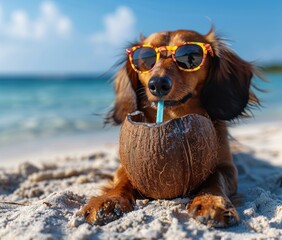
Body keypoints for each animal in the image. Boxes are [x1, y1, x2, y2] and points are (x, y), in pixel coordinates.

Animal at [80, 27, 258, 227]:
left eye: (191, 56)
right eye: (145, 58)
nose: (158, 84)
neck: (172, 116)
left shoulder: (227, 167)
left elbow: (216, 178)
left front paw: (211, 201)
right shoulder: (126, 166)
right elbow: (124, 179)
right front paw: (109, 200)